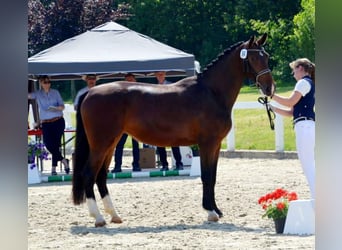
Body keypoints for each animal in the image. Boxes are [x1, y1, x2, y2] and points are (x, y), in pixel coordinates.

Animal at [71, 33, 276, 227]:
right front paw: (210, 212)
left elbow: (213, 177)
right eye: (254, 58)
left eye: (266, 57)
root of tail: (90, 92)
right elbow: (206, 176)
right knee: (89, 174)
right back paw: (98, 218)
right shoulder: (207, 144)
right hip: (101, 144)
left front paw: (217, 210)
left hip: (111, 143)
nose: (270, 88)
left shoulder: (216, 145)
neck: (211, 92)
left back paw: (114, 215)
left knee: (101, 176)